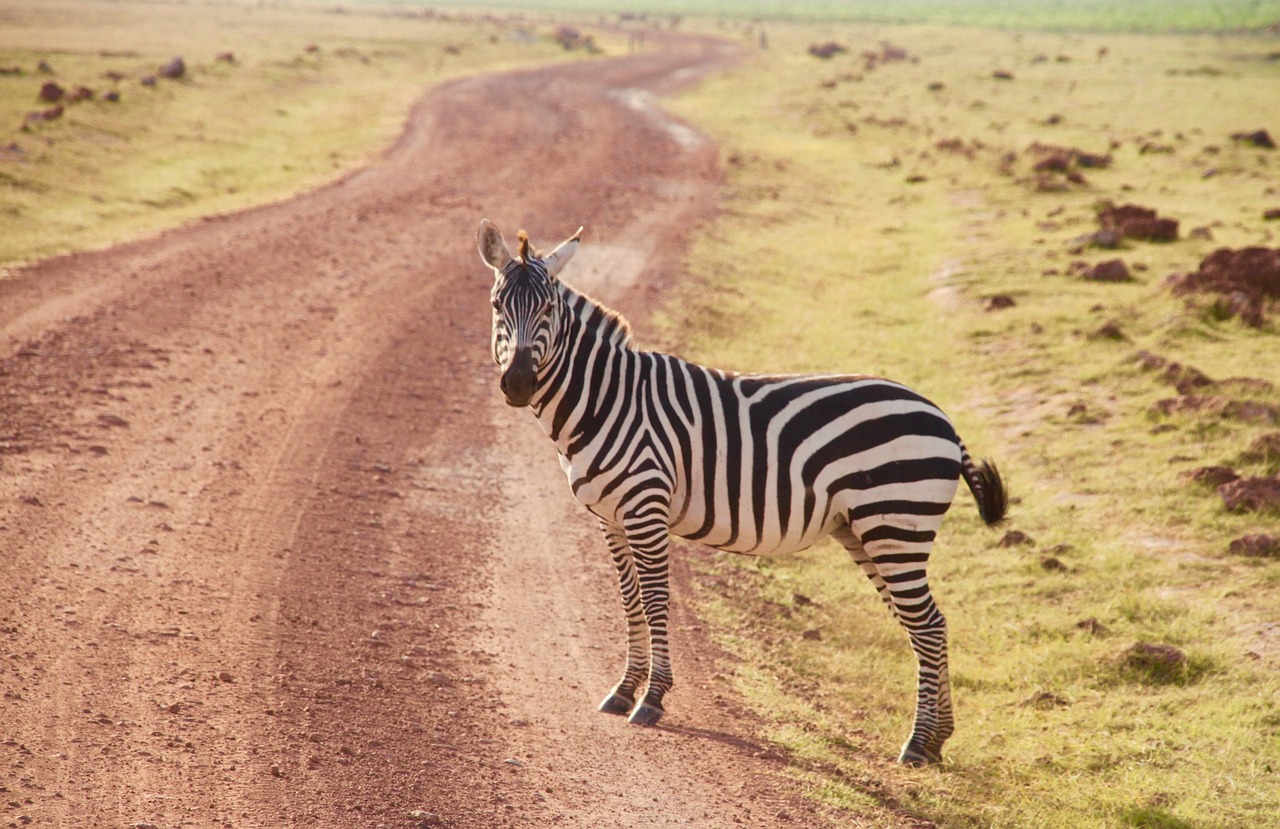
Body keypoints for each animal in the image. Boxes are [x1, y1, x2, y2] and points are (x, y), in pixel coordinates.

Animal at [476, 218, 1003, 762]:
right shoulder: (609, 518)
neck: (605, 400)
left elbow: (656, 600)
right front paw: (624, 690)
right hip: (867, 532)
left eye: (548, 309)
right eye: (496, 306)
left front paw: (652, 698)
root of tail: (941, 417)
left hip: (896, 525)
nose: (517, 384)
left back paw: (918, 744)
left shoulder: (646, 508)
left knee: (927, 625)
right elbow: (629, 601)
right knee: (928, 624)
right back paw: (937, 740)